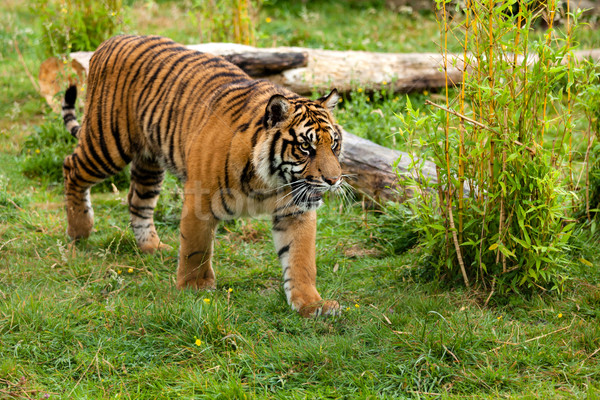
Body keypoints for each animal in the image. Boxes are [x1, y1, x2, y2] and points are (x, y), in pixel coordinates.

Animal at [61, 34, 344, 318]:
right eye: (305, 147)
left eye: (334, 144)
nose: (333, 180)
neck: (269, 182)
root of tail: (113, 39)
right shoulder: (200, 200)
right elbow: (196, 247)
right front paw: (195, 287)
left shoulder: (296, 211)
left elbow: (300, 260)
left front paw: (312, 304)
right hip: (107, 144)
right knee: (71, 168)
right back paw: (80, 230)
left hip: (149, 162)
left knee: (138, 201)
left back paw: (152, 247)